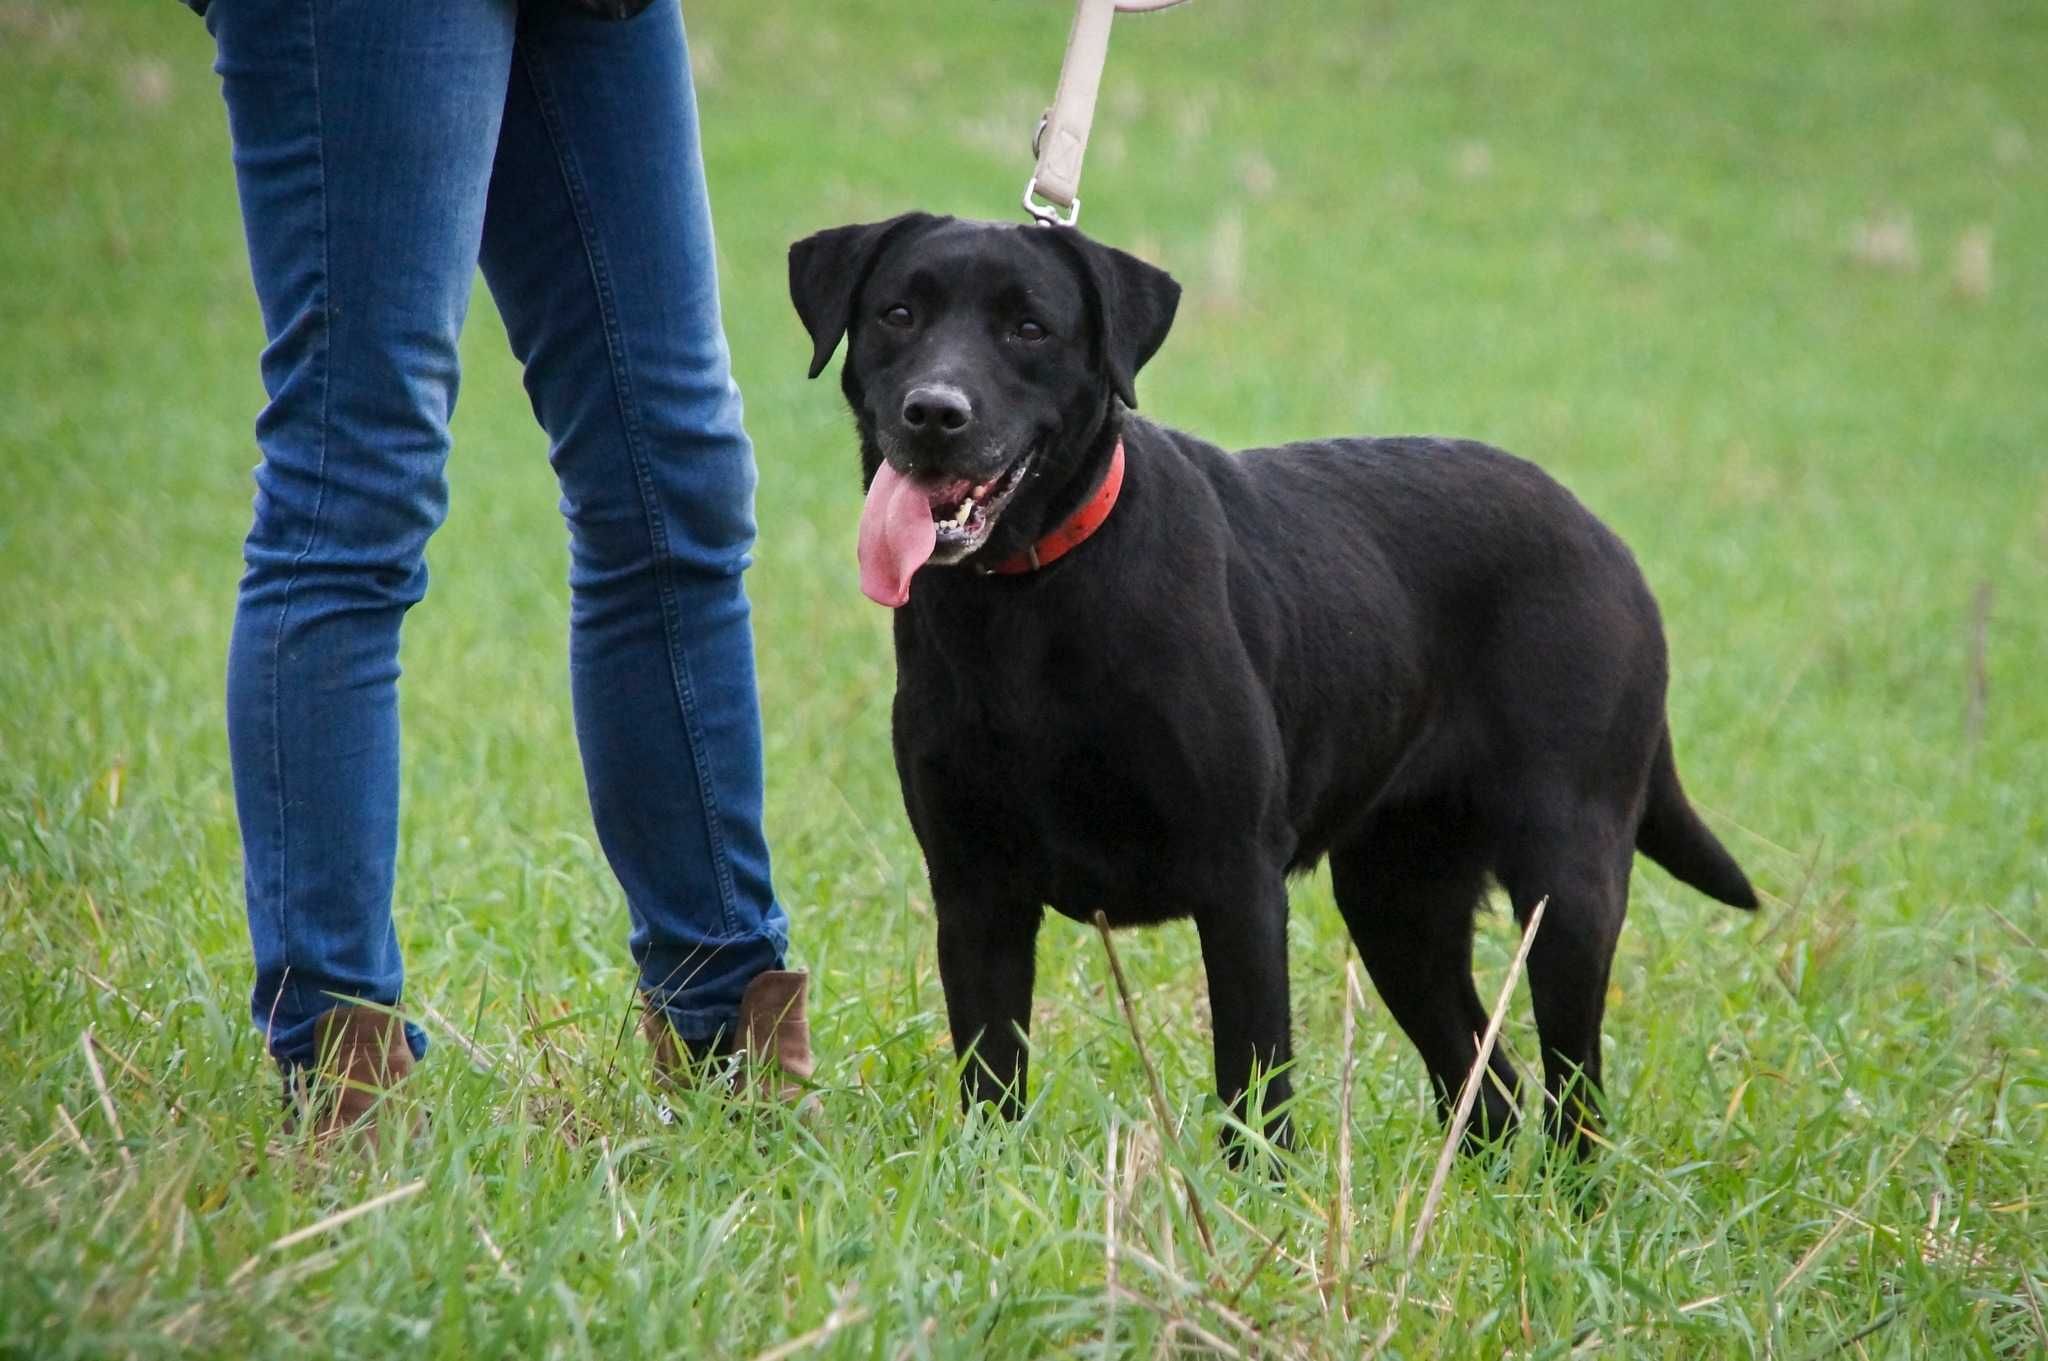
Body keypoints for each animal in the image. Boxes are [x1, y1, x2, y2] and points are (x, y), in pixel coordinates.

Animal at [790, 217, 1753, 1154]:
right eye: (899, 314)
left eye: (1029, 328)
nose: (934, 412)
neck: (1025, 602)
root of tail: (1604, 538)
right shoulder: (974, 886)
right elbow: (992, 1081)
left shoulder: (1238, 877)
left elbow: (1254, 1079)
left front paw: (1256, 1197)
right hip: (1397, 902)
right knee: (1489, 1092)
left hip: (1567, 876)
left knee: (1575, 1093)